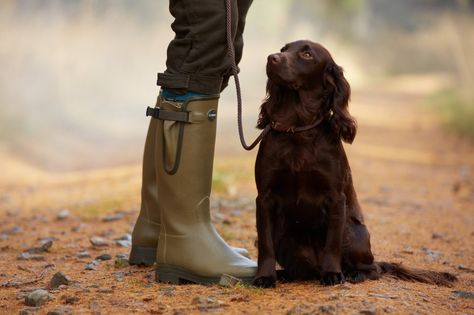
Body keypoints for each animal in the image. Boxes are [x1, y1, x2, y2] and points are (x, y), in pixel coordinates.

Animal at [254, 40, 458, 288]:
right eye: (284, 49)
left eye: (307, 54)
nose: (271, 58)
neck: (298, 128)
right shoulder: (265, 197)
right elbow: (265, 245)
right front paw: (265, 276)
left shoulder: (335, 197)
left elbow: (332, 243)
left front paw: (332, 274)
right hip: (285, 235)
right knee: (298, 268)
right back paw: (285, 274)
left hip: (355, 232)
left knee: (372, 269)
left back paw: (353, 274)